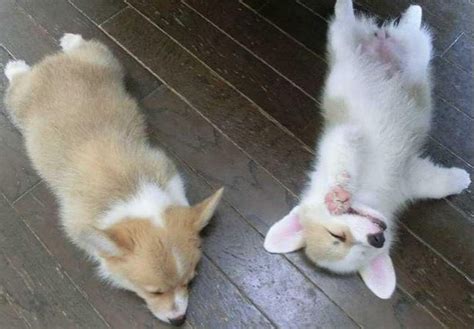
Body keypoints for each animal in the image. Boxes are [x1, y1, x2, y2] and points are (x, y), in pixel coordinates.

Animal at [4, 32, 224, 324]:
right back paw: (15, 67)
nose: (178, 321)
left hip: (106, 60)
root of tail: (51, 63)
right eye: (154, 292)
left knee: (86, 46)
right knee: (16, 84)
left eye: (189, 281)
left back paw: (70, 41)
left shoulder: (166, 171)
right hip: (16, 104)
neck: (132, 192)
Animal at [264, 0, 468, 298]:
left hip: (349, 41)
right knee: (406, 32)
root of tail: (379, 40)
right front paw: (461, 180)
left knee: (355, 20)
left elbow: (342, 167)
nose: (377, 238)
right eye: (361, 249)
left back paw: (357, 5)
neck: (373, 195)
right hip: (402, 50)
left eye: (335, 235)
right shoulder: (408, 176)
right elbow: (434, 183)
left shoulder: (344, 140)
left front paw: (338, 193)